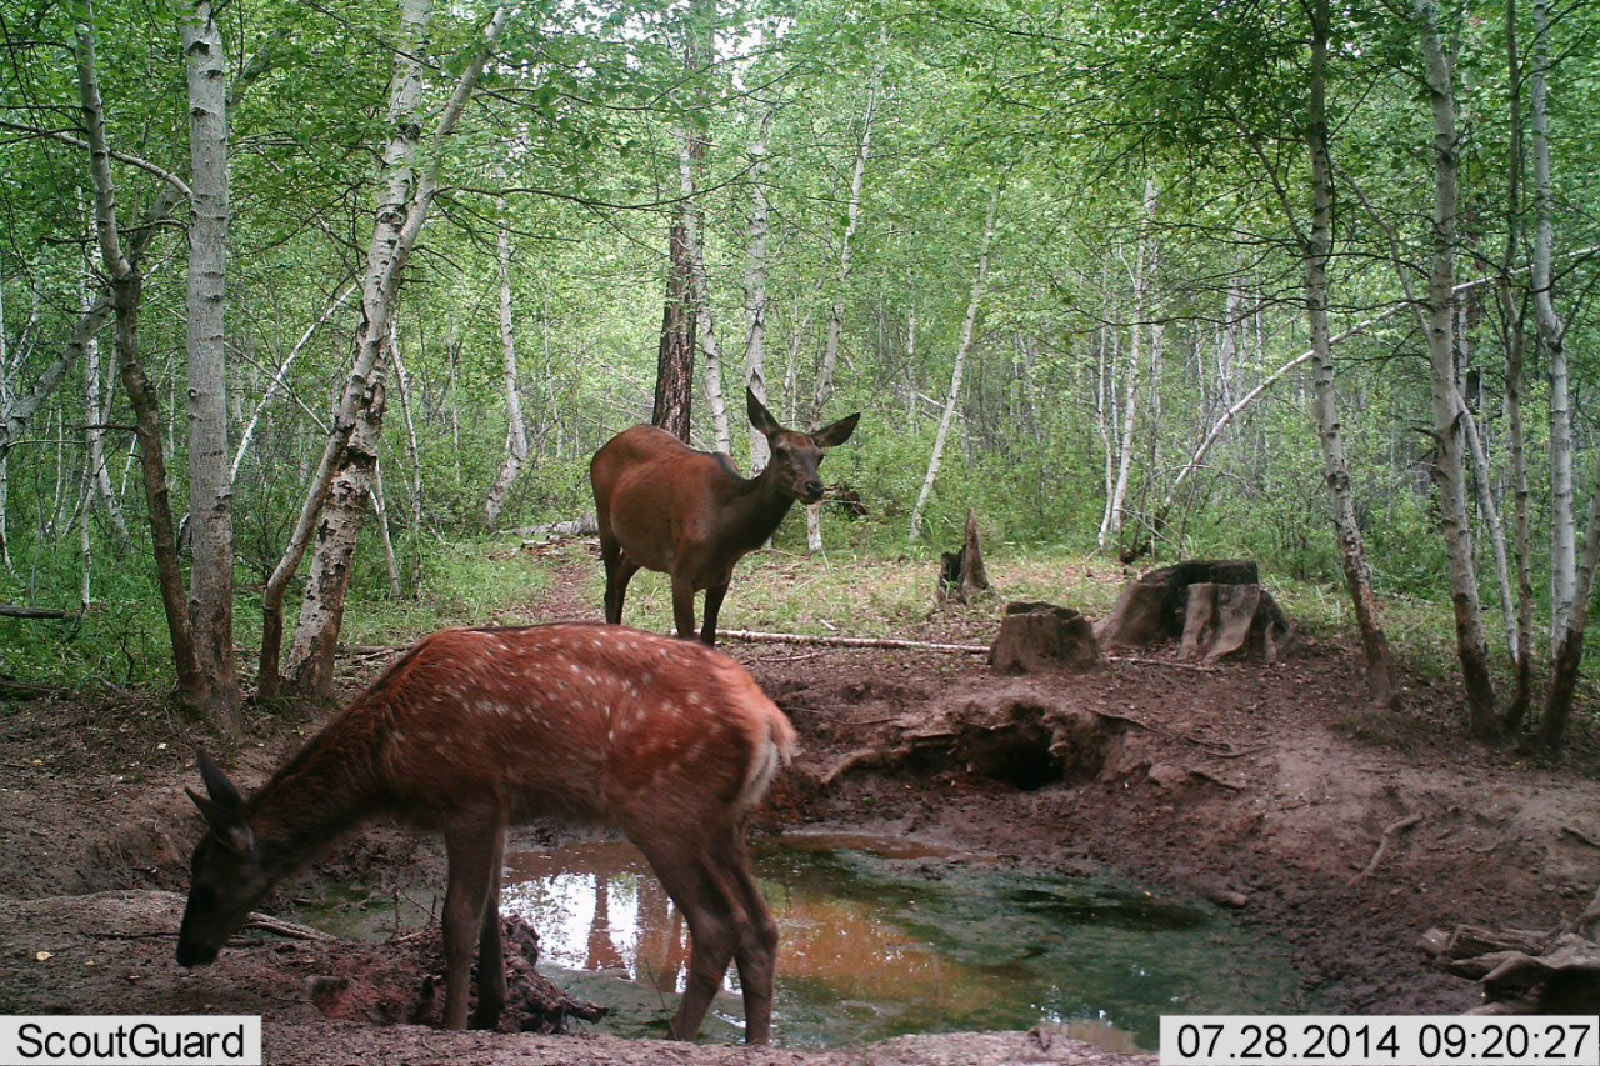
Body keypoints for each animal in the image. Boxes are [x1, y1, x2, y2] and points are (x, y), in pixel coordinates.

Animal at [176, 617, 800, 1043]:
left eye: (205, 885)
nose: (186, 953)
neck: (386, 760)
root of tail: (772, 724)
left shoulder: (468, 795)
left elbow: (457, 920)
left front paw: (453, 1025)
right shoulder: (498, 807)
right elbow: (492, 910)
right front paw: (491, 1009)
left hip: (661, 809)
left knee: (719, 925)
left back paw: (675, 1038)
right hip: (723, 824)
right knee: (763, 926)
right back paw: (756, 1043)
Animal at [592, 388, 864, 643]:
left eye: (820, 456)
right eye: (781, 451)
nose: (814, 487)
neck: (726, 535)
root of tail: (599, 452)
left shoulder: (722, 578)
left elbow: (709, 637)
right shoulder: (680, 574)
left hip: (639, 546)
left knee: (620, 578)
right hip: (604, 519)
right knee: (610, 589)